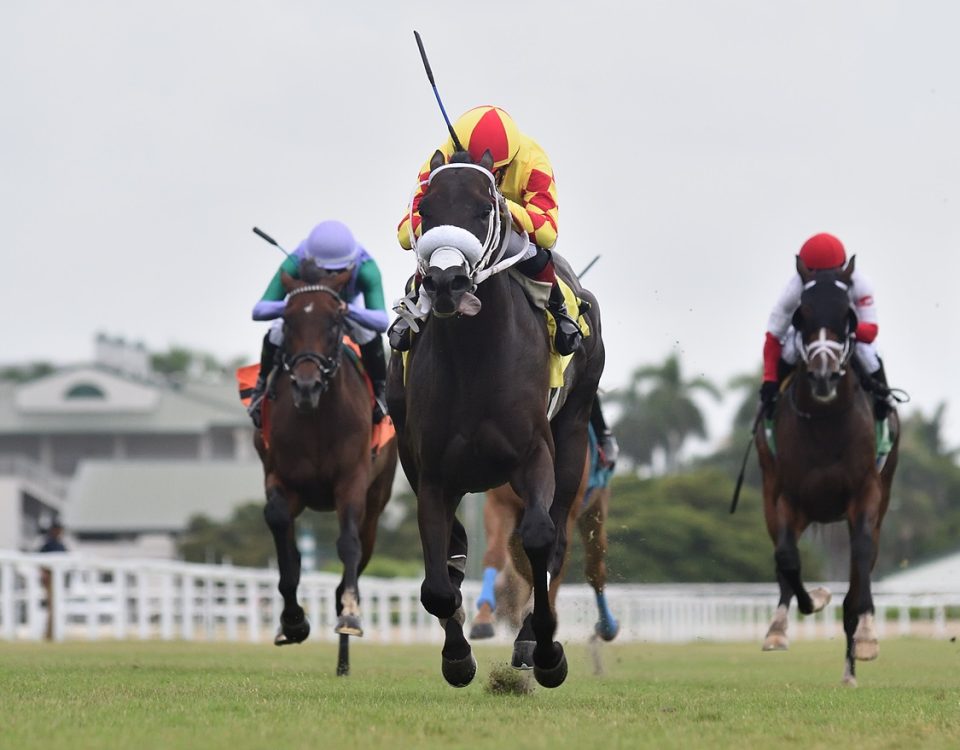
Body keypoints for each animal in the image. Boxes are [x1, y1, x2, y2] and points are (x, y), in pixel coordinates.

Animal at [251, 262, 398, 680]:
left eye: (334, 322)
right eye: (287, 319)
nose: (306, 384)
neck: (316, 419)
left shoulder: (351, 481)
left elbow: (348, 545)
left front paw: (349, 614)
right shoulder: (281, 479)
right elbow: (284, 543)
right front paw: (293, 621)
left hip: (377, 501)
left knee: (360, 550)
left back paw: (344, 656)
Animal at [386, 150, 604, 692]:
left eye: (484, 208)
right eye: (424, 208)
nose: (446, 283)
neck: (476, 360)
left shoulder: (534, 455)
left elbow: (539, 539)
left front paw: (544, 652)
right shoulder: (432, 473)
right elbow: (439, 582)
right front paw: (457, 656)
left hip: (574, 436)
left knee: (556, 540)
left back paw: (530, 642)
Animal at [756, 258, 900, 688]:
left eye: (846, 315)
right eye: (800, 316)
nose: (823, 375)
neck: (825, 422)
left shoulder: (866, 493)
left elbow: (862, 556)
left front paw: (867, 635)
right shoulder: (787, 497)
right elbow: (787, 559)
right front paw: (796, 614)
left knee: (861, 565)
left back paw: (851, 665)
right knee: (785, 561)